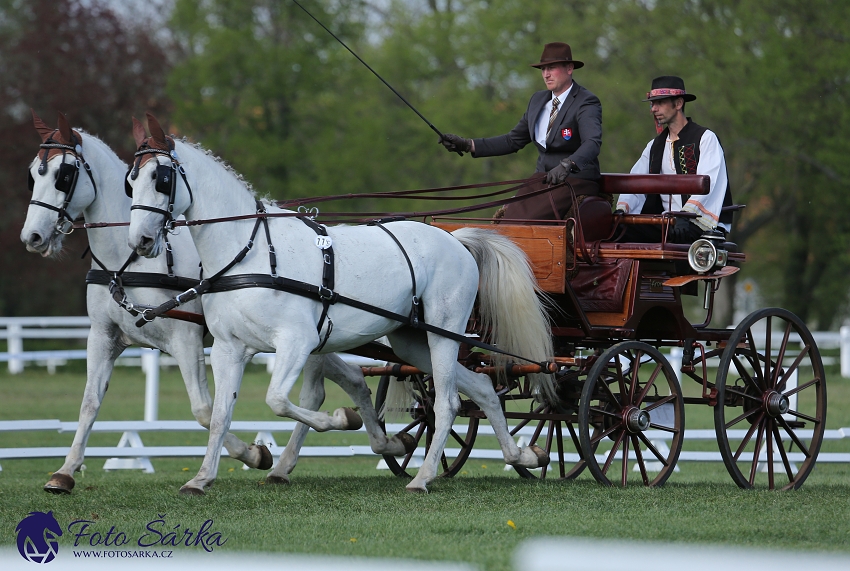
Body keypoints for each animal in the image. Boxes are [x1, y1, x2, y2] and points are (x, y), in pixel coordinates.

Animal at [19, 110, 274, 492]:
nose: (32, 237)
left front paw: (255, 454)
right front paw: (65, 471)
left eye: (63, 174)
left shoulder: (186, 339)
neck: (127, 263)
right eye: (34, 172)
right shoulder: (103, 335)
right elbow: (90, 402)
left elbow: (204, 409)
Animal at [124, 113, 548, 496]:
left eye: (161, 178)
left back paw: (424, 477)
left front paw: (343, 420)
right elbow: (218, 417)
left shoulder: (297, 342)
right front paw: (202, 479)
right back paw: (521, 455)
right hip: (413, 341)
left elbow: (280, 400)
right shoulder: (230, 349)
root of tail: (456, 239)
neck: (250, 251)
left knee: (446, 402)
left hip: (444, 333)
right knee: (482, 388)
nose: (139, 241)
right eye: (130, 181)